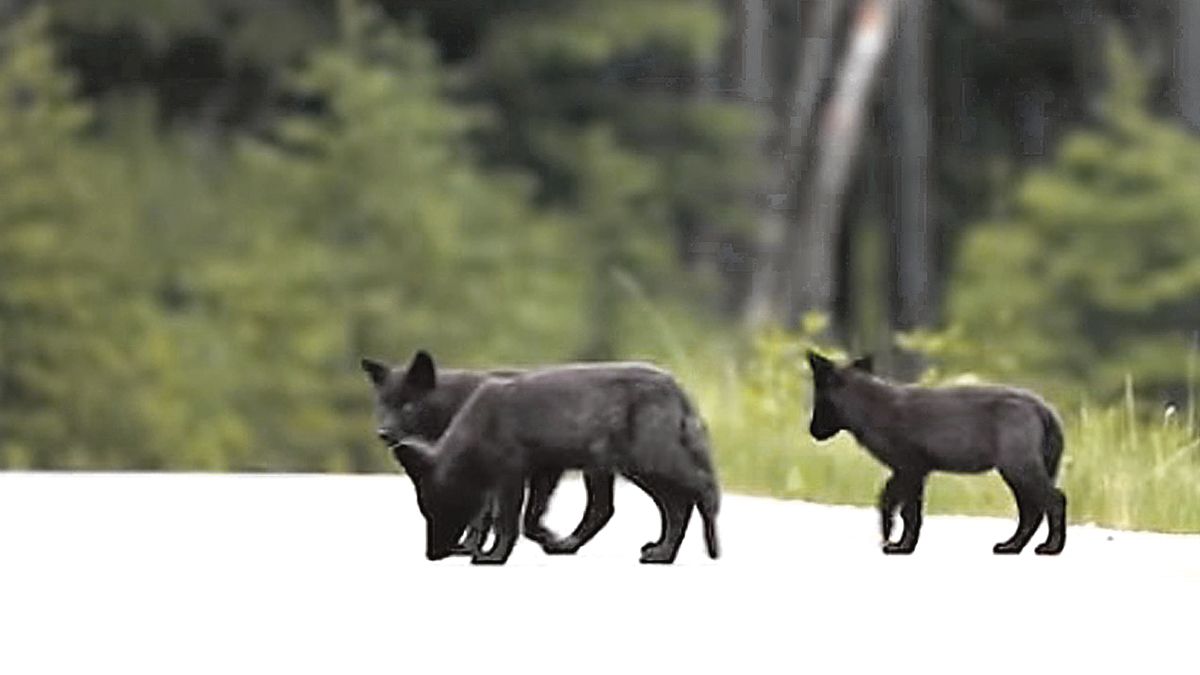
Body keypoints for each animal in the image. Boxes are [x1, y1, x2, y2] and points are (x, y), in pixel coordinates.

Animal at [360, 353, 614, 552]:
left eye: (408, 407)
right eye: (382, 406)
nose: (383, 433)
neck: (456, 406)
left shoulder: (537, 470)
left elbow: (519, 517)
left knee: (600, 509)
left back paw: (567, 545)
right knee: (604, 509)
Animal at [391, 362, 720, 562]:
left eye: (436, 509)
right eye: (425, 512)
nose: (431, 555)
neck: (480, 426)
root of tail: (675, 386)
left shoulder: (511, 477)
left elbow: (506, 521)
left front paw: (493, 556)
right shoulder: (545, 471)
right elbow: (529, 520)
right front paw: (548, 538)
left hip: (646, 464)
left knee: (698, 492)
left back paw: (702, 546)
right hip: (617, 470)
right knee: (630, 509)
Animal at [806, 348, 1070, 554]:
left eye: (818, 399)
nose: (812, 432)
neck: (868, 407)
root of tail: (1044, 409)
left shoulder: (909, 468)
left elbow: (904, 510)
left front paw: (897, 544)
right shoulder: (913, 472)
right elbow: (900, 505)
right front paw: (899, 541)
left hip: (1019, 467)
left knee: (1054, 501)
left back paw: (1050, 547)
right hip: (1020, 472)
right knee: (1031, 510)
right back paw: (1011, 546)